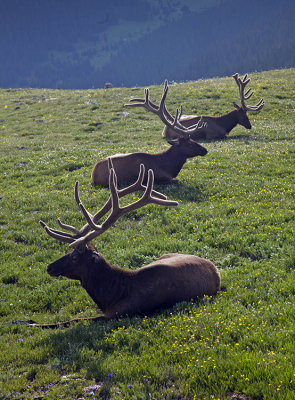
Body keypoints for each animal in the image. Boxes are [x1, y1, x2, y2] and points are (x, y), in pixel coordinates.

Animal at [34, 158, 220, 326]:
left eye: (74, 257)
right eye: (68, 252)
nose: (49, 267)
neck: (113, 295)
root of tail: (215, 269)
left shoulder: (118, 314)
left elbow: (72, 320)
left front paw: (32, 323)